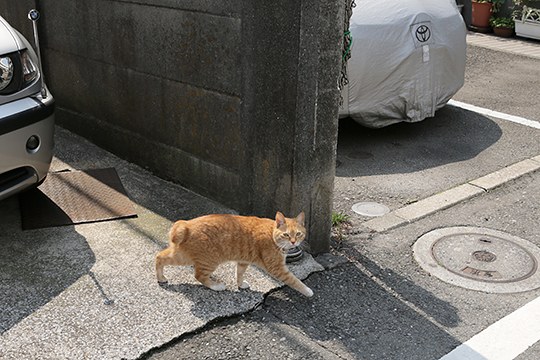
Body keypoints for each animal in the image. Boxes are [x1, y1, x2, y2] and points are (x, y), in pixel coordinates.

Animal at [154, 210, 314, 296]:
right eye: (286, 235)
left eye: (298, 234)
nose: (293, 242)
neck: (271, 233)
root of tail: (186, 224)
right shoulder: (278, 268)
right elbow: (295, 281)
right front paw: (307, 291)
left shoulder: (243, 261)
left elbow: (239, 274)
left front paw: (241, 285)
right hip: (208, 261)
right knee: (199, 276)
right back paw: (216, 286)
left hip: (181, 255)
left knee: (159, 257)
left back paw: (161, 278)